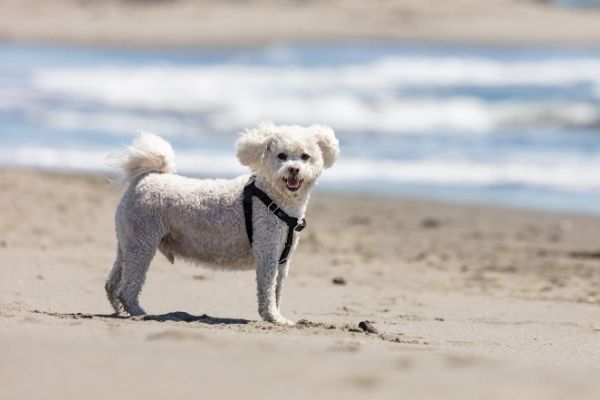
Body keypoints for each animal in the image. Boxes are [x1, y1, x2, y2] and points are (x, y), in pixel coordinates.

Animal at [104, 122, 338, 324]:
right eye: (282, 156)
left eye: (305, 156)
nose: (293, 169)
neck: (273, 197)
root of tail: (144, 178)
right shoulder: (268, 251)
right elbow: (268, 290)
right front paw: (274, 318)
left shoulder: (283, 258)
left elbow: (277, 290)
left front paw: (276, 316)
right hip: (142, 243)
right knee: (128, 287)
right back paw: (139, 313)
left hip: (128, 241)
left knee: (112, 283)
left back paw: (120, 310)